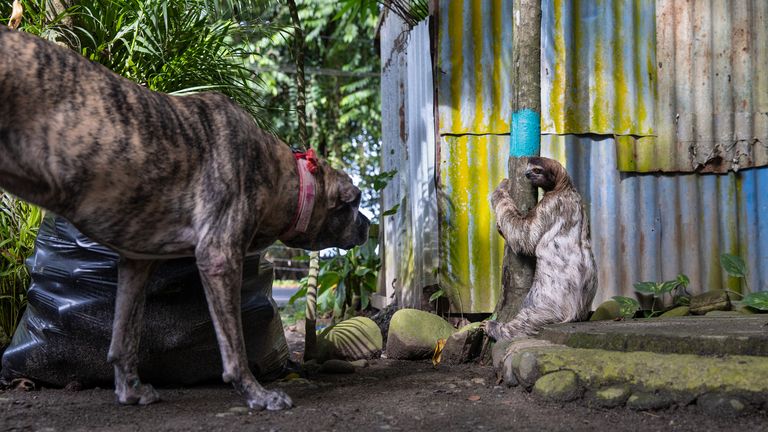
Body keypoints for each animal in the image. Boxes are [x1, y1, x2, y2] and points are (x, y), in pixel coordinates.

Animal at [0, 25, 370, 410]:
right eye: (355, 202)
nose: (368, 226)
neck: (277, 171)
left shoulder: (136, 264)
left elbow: (124, 336)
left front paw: (129, 389)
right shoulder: (219, 258)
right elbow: (234, 344)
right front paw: (256, 393)